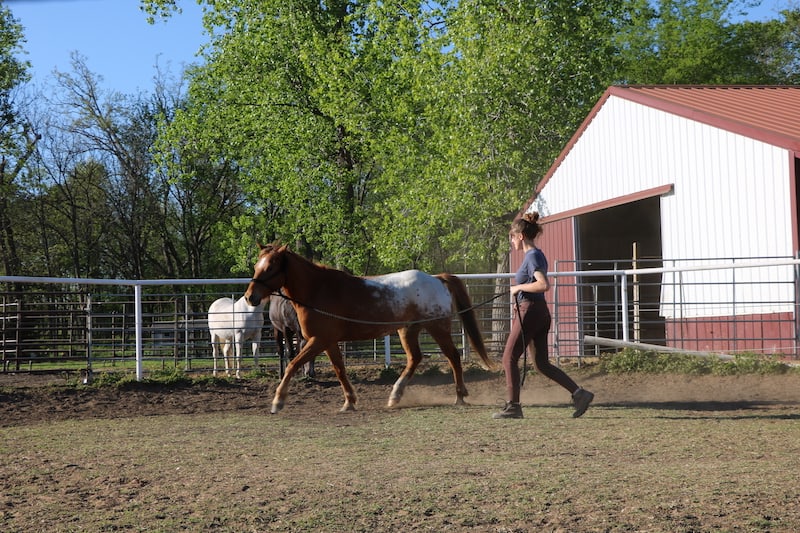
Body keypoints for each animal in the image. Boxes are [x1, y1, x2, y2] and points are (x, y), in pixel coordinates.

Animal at [244, 243, 495, 413]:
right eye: (257, 266)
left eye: (271, 267)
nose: (249, 297)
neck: (318, 290)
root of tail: (436, 278)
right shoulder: (328, 341)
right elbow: (339, 369)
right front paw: (349, 401)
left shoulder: (318, 340)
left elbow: (293, 365)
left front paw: (278, 401)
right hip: (407, 330)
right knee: (415, 358)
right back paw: (395, 396)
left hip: (438, 328)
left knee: (453, 356)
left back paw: (460, 395)